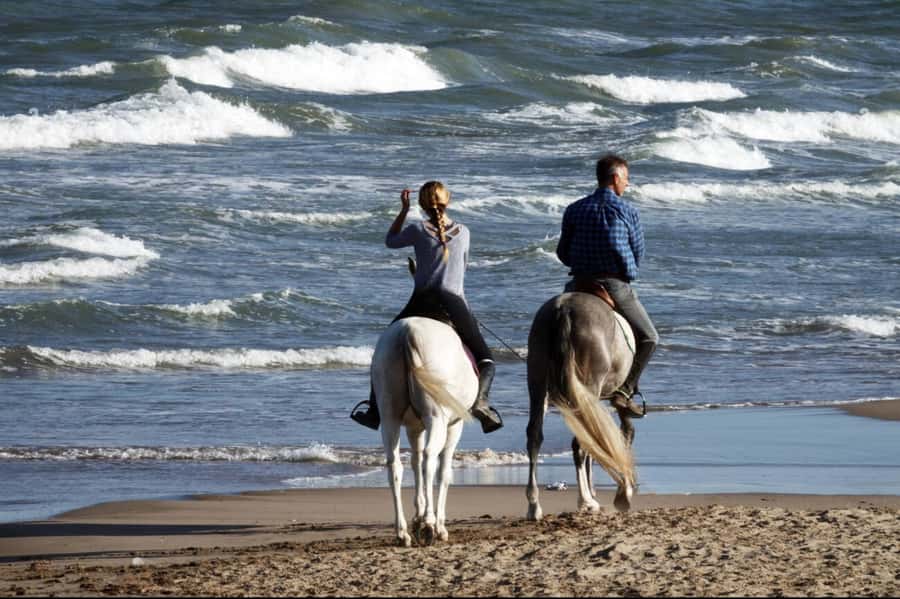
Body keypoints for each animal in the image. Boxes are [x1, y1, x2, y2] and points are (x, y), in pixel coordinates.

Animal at [371, 316, 478, 547]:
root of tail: (407, 331)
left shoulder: (414, 428)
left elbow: (415, 463)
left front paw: (417, 517)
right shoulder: (453, 427)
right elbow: (443, 472)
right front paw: (437, 525)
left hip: (390, 418)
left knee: (395, 466)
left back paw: (402, 532)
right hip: (436, 418)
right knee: (430, 459)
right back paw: (430, 524)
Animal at [525, 291, 638, 521]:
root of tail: (564, 308)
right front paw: (619, 494)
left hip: (537, 381)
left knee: (534, 436)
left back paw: (534, 505)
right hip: (587, 386)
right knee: (581, 441)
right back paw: (585, 501)